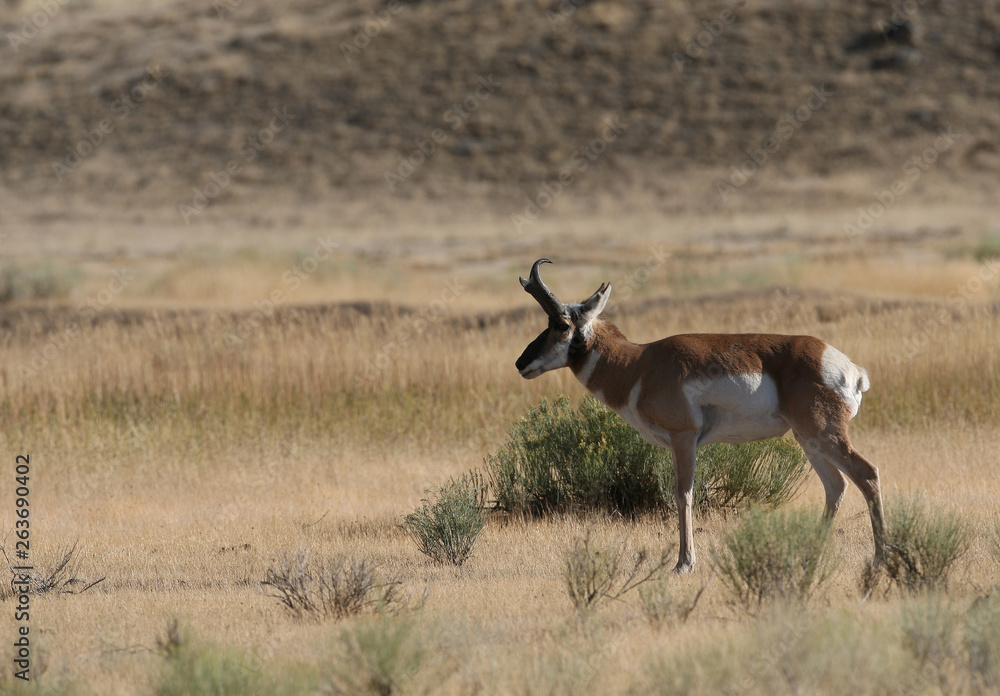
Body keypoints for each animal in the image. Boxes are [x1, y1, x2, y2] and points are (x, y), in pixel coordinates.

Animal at [514, 259, 885, 573]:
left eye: (561, 324)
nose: (521, 363)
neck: (639, 365)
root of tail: (851, 369)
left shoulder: (684, 439)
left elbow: (684, 495)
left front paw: (684, 563)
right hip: (808, 440)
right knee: (836, 487)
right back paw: (811, 555)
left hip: (825, 436)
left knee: (867, 473)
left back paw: (881, 559)